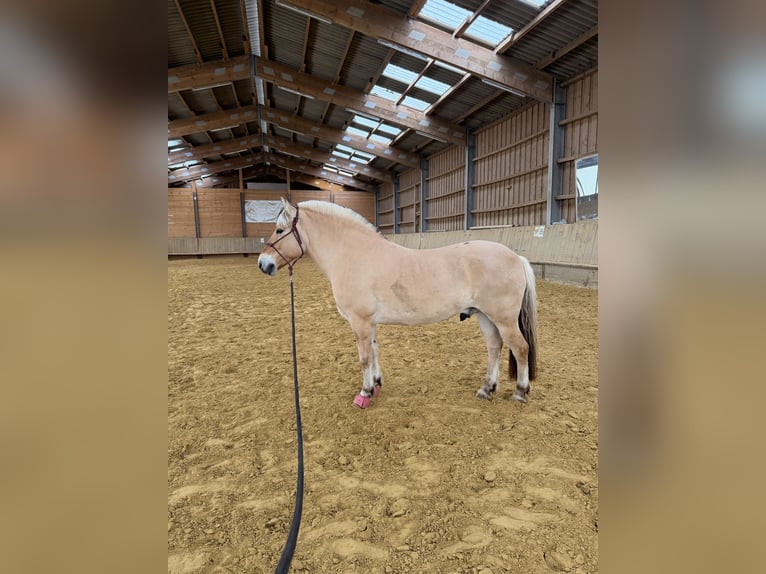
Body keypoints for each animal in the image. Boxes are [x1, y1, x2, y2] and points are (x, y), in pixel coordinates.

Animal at [258, 198, 538, 409]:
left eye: (280, 230)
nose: (263, 263)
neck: (353, 254)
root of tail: (517, 257)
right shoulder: (369, 323)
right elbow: (374, 352)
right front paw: (377, 384)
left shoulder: (359, 321)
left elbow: (364, 357)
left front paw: (364, 393)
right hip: (484, 316)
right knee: (495, 347)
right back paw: (486, 389)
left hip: (503, 319)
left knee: (520, 348)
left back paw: (520, 391)